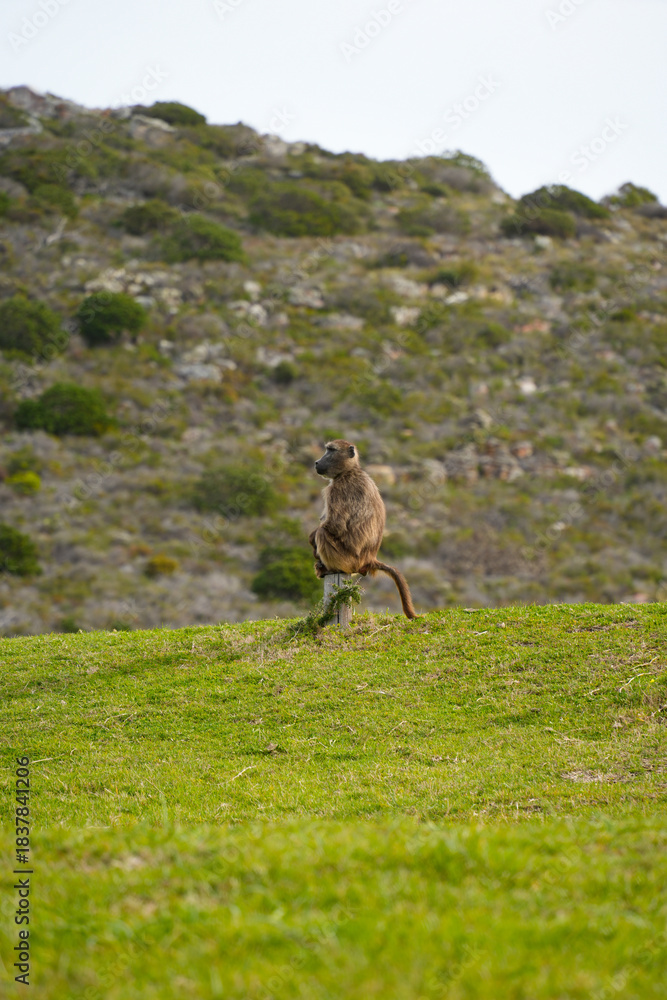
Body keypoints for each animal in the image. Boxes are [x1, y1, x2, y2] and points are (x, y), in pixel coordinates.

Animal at [308, 438, 418, 619]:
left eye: (331, 450)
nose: (317, 462)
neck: (349, 470)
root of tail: (369, 559)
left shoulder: (337, 489)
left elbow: (335, 525)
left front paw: (312, 541)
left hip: (348, 561)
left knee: (323, 534)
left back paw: (329, 569)